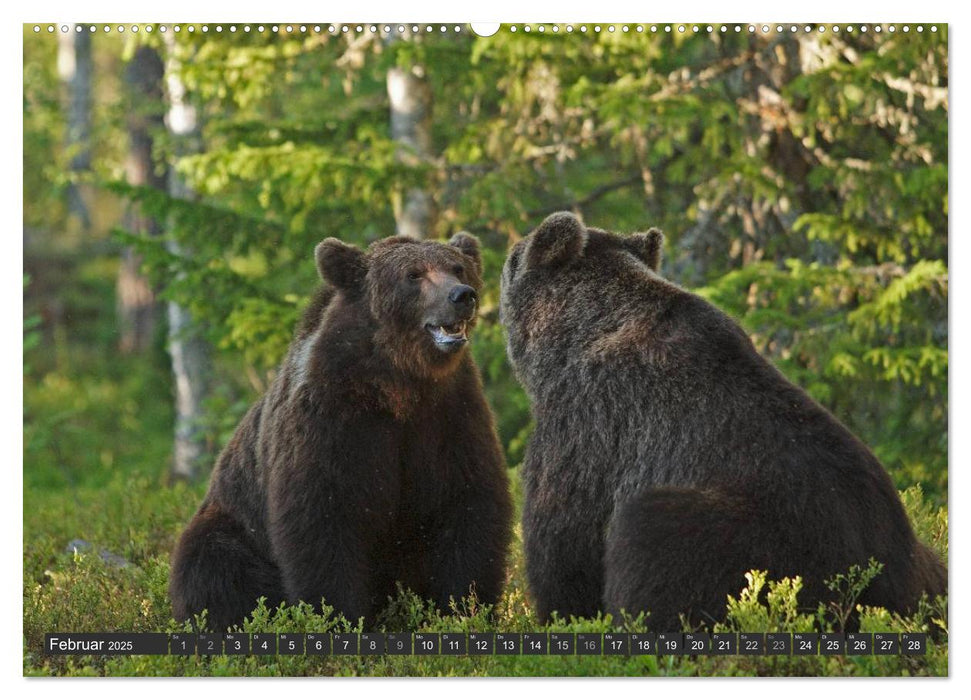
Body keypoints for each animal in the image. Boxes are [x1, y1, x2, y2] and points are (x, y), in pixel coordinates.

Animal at [170, 232, 512, 632]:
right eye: (413, 274)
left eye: (458, 267)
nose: (462, 296)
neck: (398, 383)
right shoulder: (334, 420)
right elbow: (323, 517)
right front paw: (339, 617)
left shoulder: (449, 415)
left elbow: (467, 503)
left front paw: (464, 608)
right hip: (232, 523)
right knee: (213, 567)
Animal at [502, 211, 948, 632]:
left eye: (512, 260)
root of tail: (881, 588)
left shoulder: (590, 421)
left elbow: (564, 541)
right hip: (921, 560)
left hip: (762, 543)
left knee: (654, 533)